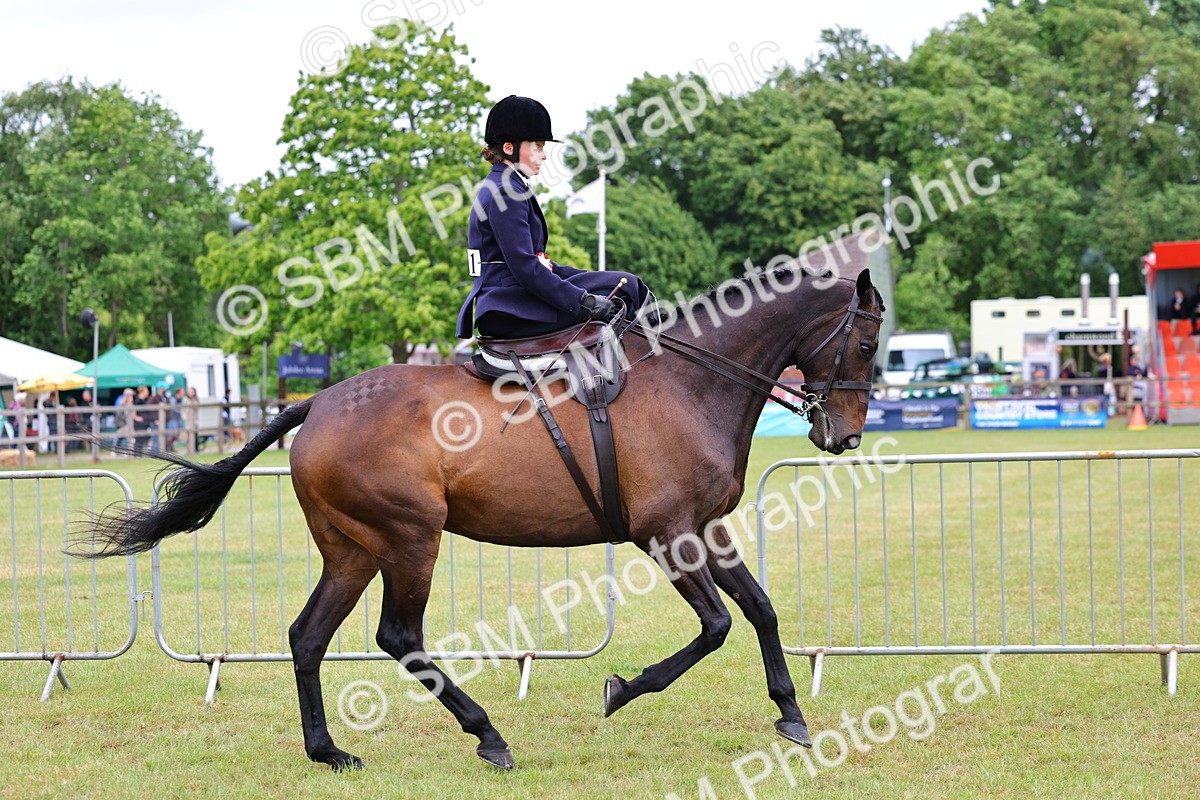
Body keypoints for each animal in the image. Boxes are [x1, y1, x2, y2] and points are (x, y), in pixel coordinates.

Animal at [79, 265, 884, 771]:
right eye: (870, 343)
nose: (844, 437)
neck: (691, 380)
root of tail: (319, 402)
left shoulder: (704, 529)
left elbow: (762, 609)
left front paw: (791, 715)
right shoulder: (667, 535)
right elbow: (717, 626)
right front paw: (623, 689)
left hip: (352, 552)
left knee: (308, 638)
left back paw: (328, 751)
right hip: (409, 540)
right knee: (398, 637)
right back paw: (488, 735)